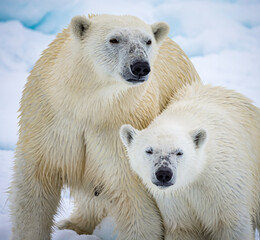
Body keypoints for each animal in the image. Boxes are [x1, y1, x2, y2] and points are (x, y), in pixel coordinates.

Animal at [9, 14, 200, 239]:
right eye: (114, 39)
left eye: (147, 41)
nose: (140, 66)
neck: (88, 106)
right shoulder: (50, 122)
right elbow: (35, 188)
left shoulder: (119, 130)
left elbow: (136, 201)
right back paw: (73, 224)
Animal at [121, 83, 260, 240]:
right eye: (149, 150)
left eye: (179, 152)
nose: (164, 174)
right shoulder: (175, 202)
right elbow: (183, 229)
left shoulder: (225, 187)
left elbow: (232, 225)